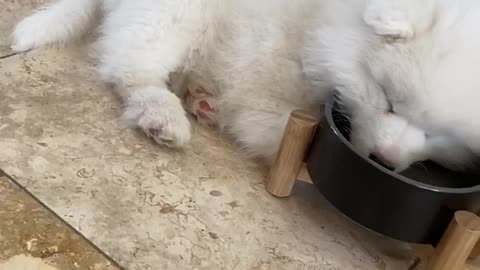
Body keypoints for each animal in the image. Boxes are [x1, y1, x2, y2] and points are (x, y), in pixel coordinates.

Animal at [10, 0, 480, 172]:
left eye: (440, 136)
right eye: (388, 101)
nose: (384, 161)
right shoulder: (270, 81)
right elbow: (279, 133)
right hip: (173, 13)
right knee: (130, 65)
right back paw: (164, 113)